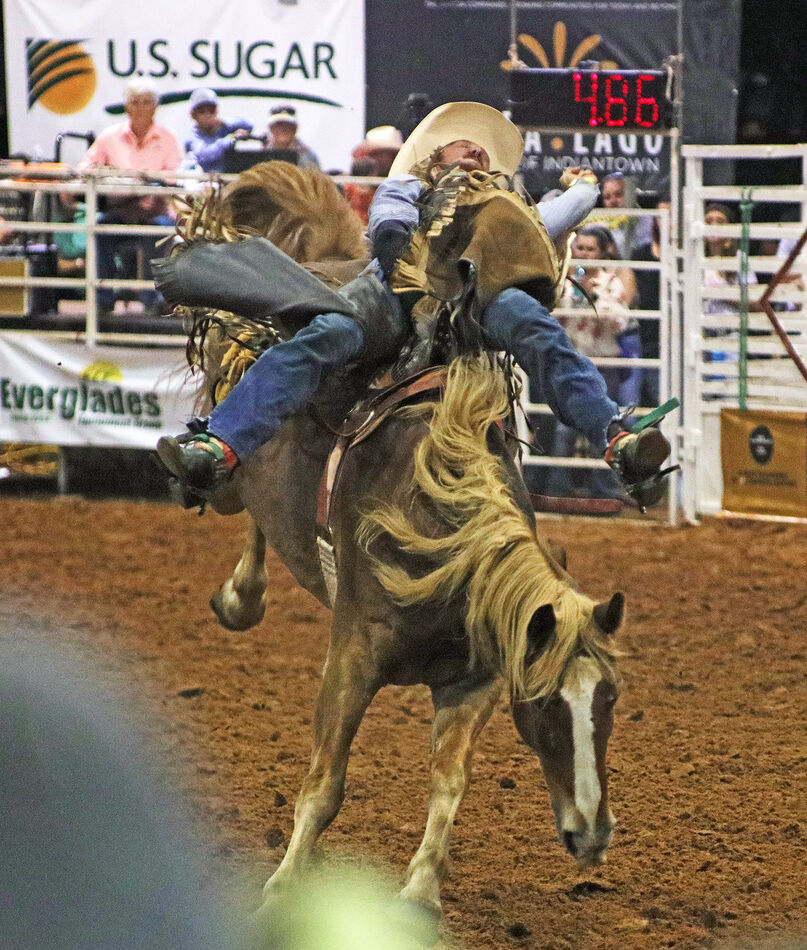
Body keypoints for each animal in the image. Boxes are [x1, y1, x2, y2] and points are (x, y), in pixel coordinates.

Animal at [169, 162, 624, 928]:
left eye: (609, 703)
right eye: (544, 705)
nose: (591, 835)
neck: (438, 539)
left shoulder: (472, 681)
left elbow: (449, 784)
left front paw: (418, 895)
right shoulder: (351, 656)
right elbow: (325, 784)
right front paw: (281, 890)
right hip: (228, 460)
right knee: (236, 490)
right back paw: (233, 582)